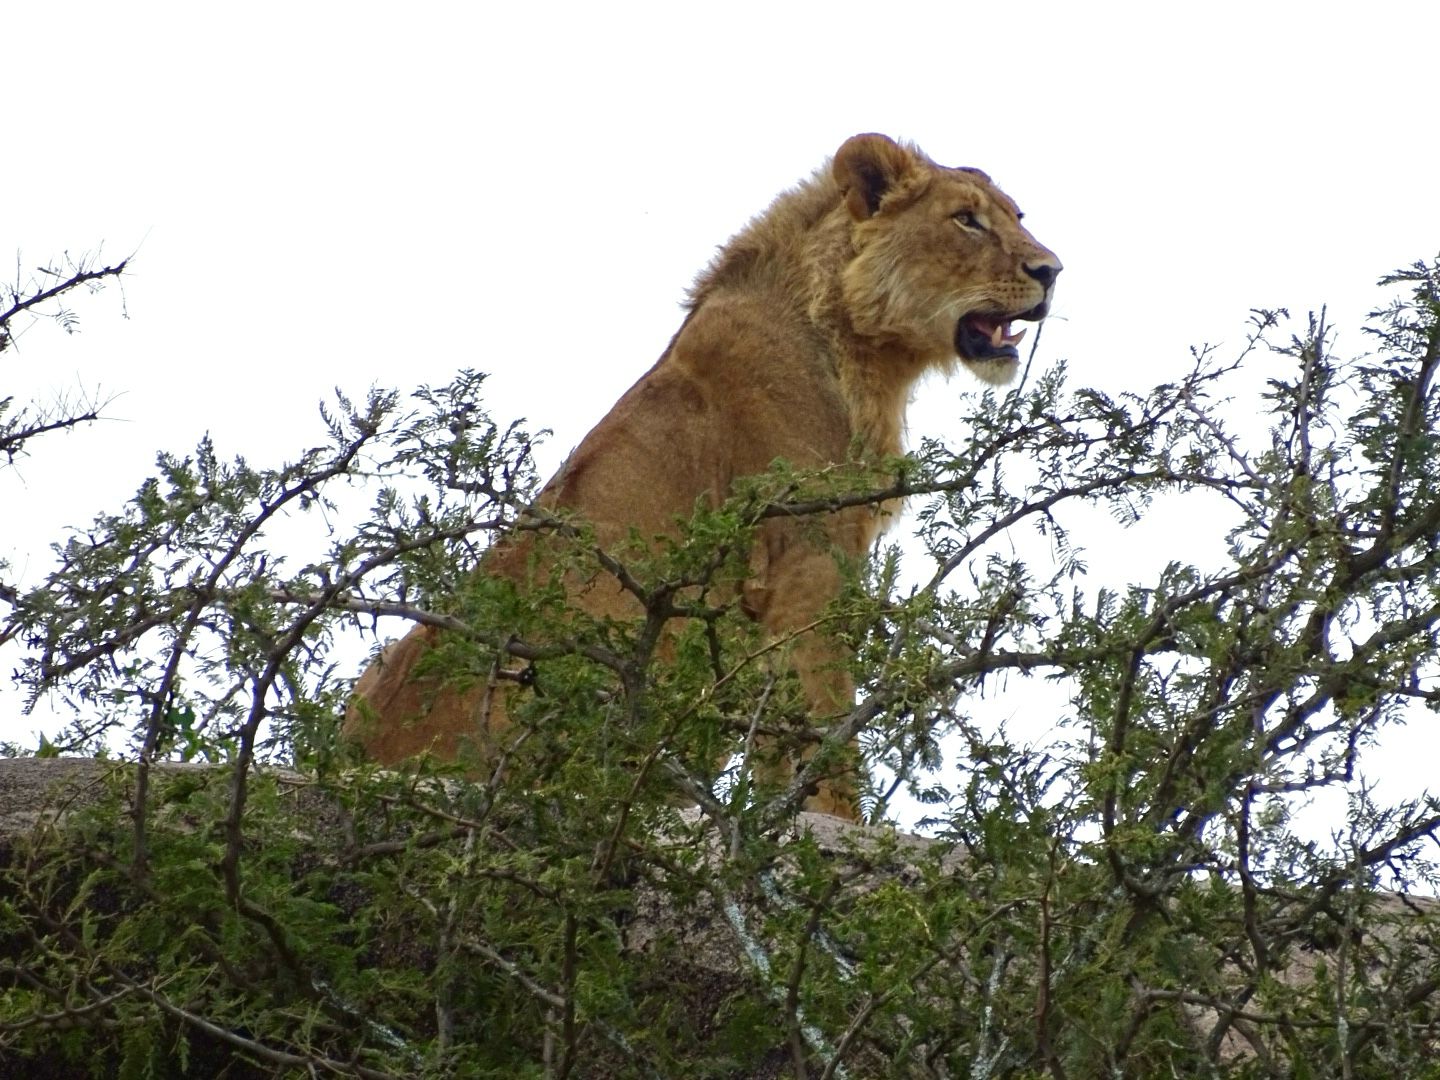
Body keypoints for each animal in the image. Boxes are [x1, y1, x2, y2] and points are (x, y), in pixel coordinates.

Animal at [347, 135, 1059, 817]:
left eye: (1017, 216)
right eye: (966, 220)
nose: (1052, 271)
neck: (858, 350)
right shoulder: (806, 568)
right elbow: (822, 734)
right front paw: (836, 827)